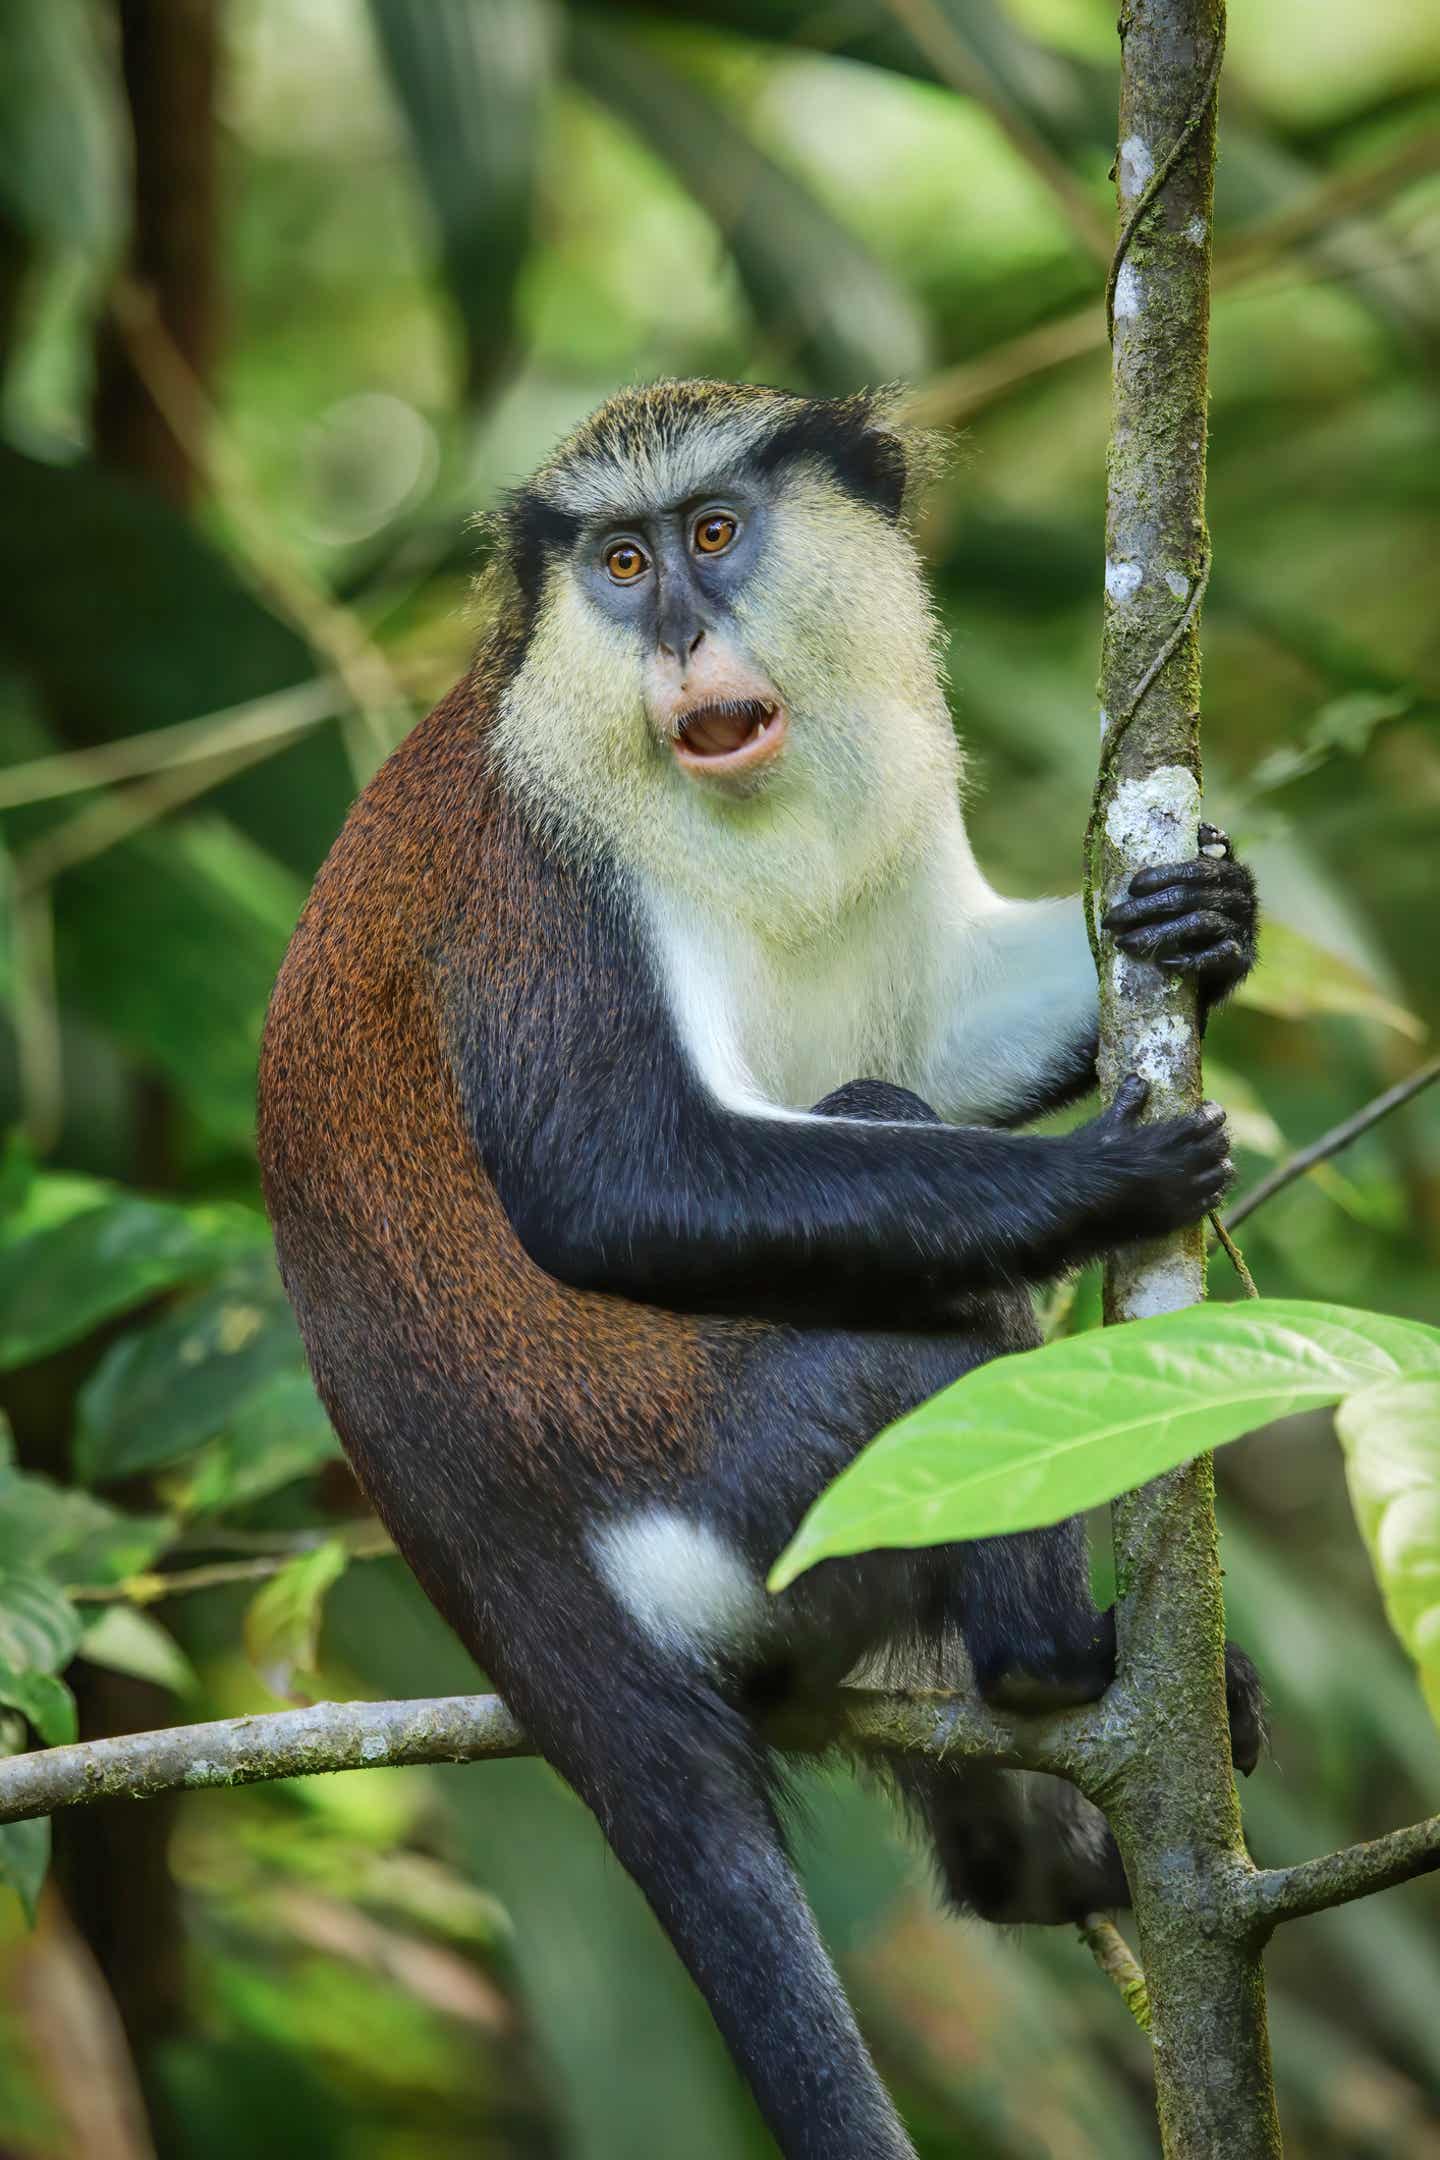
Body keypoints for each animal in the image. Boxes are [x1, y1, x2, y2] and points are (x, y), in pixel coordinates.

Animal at [262, 384, 1260, 2160]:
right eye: (620, 559)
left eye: (714, 532)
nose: (674, 629)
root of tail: (531, 1611)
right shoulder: (545, 882)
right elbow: (622, 1181)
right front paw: (1101, 1181)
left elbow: (933, 1023)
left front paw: (1209, 909)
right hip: (759, 1491)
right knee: (929, 1321)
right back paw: (1056, 1664)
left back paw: (1036, 1853)